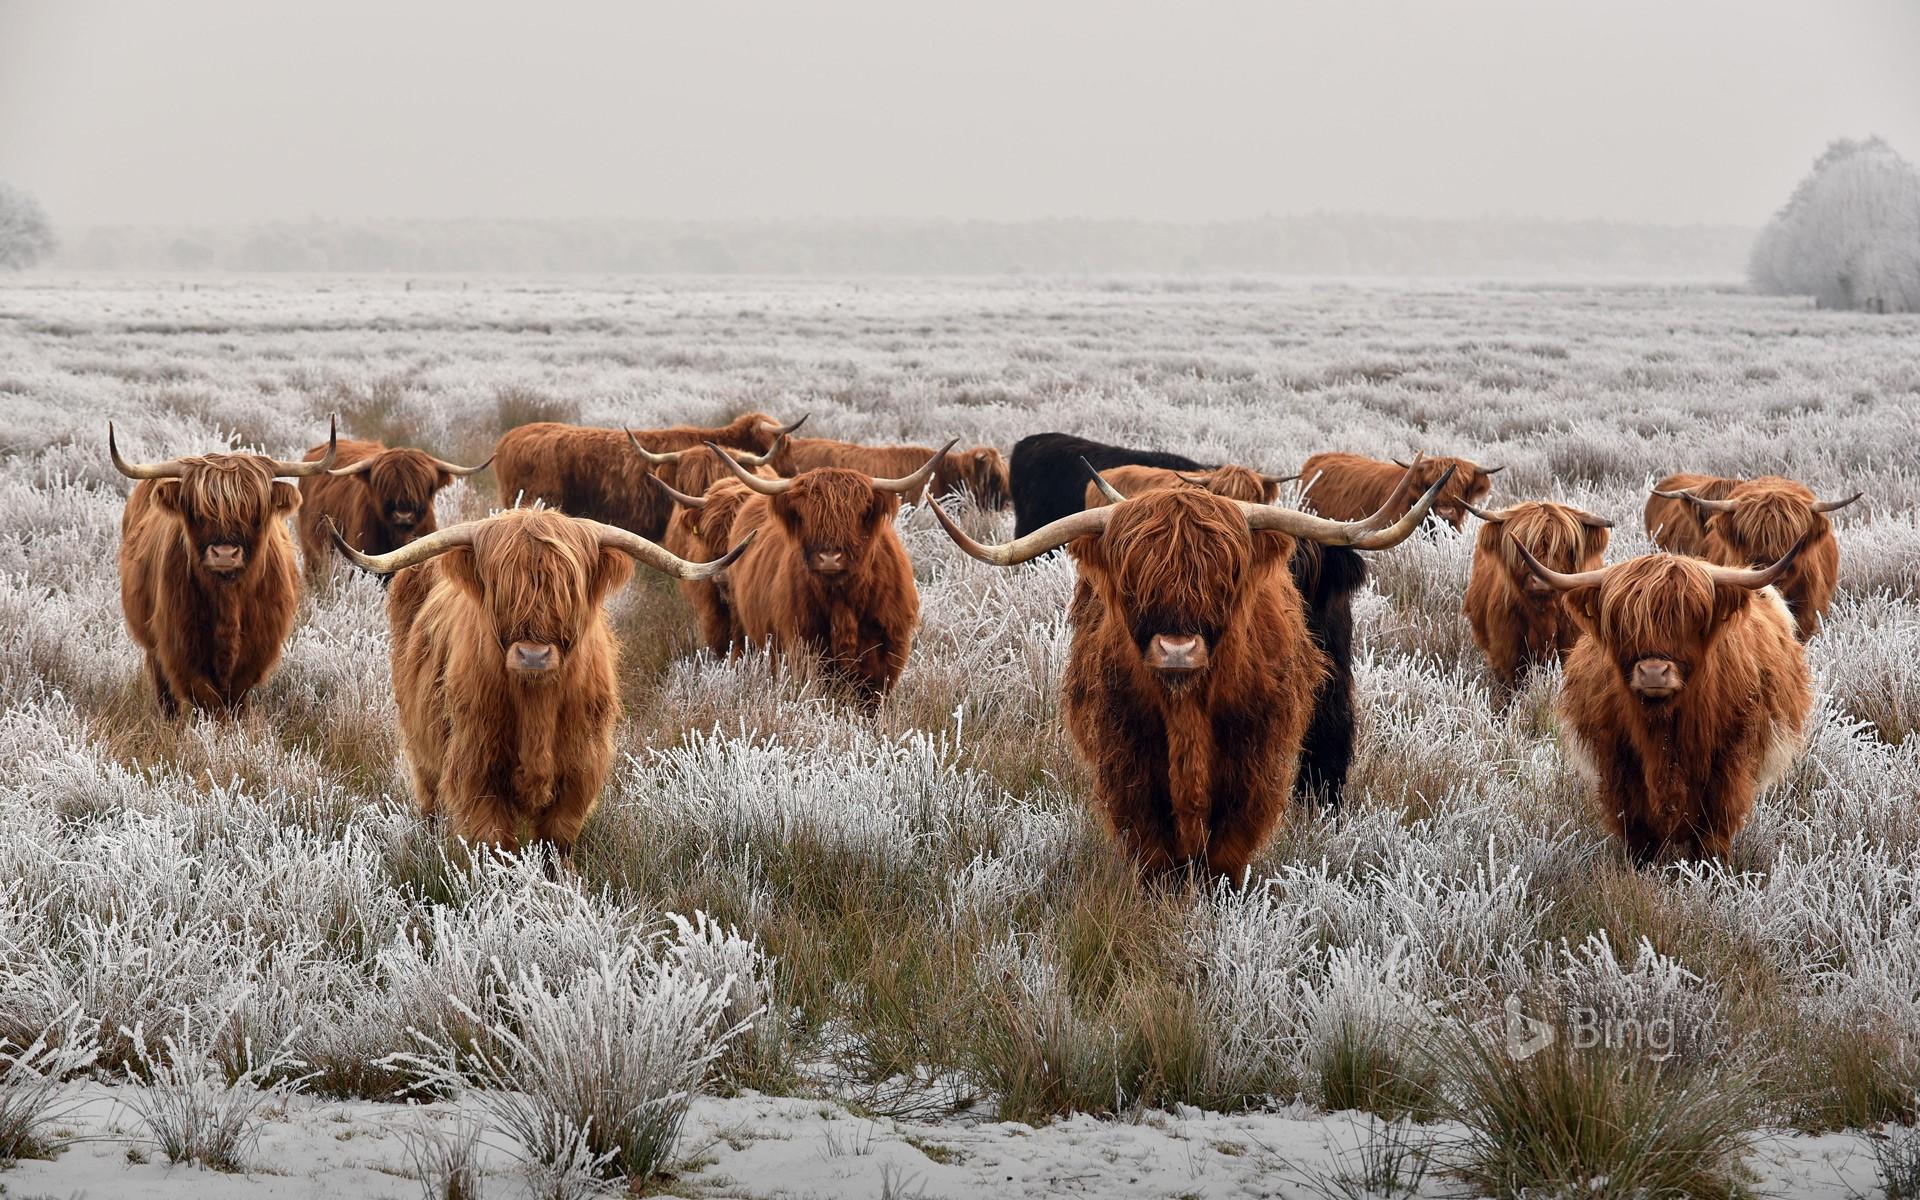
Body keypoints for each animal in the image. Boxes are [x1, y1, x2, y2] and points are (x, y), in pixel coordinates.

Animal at [111, 420, 338, 716]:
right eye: (197, 511)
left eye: (255, 511)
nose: (225, 554)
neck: (228, 598)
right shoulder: (179, 648)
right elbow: (207, 700)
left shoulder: (256, 652)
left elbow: (234, 701)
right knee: (164, 692)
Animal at [327, 507, 748, 851]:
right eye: (502, 588)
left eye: (568, 588)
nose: (533, 655)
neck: (536, 706)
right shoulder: (476, 769)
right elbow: (496, 843)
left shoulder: (579, 771)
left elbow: (556, 842)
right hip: (422, 747)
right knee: (429, 799)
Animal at [710, 440, 953, 705]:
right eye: (805, 514)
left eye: (858, 513)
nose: (829, 558)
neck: (843, 601)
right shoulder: (805, 646)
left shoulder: (887, 653)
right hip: (741, 624)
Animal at [930, 464, 1454, 879]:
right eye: (1132, 580)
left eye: (1226, 576)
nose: (1177, 649)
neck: (1187, 710)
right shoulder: (1126, 762)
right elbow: (1154, 850)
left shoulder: (1254, 764)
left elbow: (1226, 849)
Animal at [1512, 536, 1814, 863]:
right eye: (1622, 622)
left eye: (1692, 618)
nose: (1653, 672)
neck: (1663, 729)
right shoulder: (1618, 763)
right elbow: (1638, 830)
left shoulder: (1729, 762)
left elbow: (1713, 830)